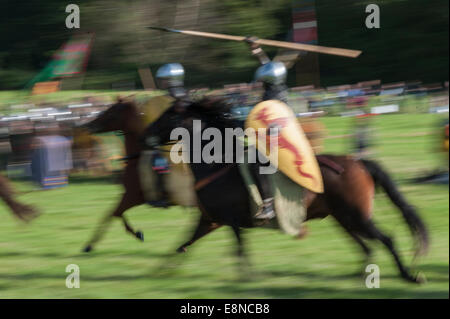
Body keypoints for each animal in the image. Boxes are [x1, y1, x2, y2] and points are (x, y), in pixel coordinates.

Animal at [144, 98, 428, 284]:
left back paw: (408, 275)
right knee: (365, 246)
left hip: (357, 216)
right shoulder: (210, 220)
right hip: (343, 218)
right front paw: (160, 271)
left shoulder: (231, 221)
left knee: (385, 239)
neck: (215, 164)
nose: (146, 135)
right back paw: (362, 275)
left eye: (169, 116)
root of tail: (359, 162)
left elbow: (239, 249)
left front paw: (247, 278)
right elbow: (183, 244)